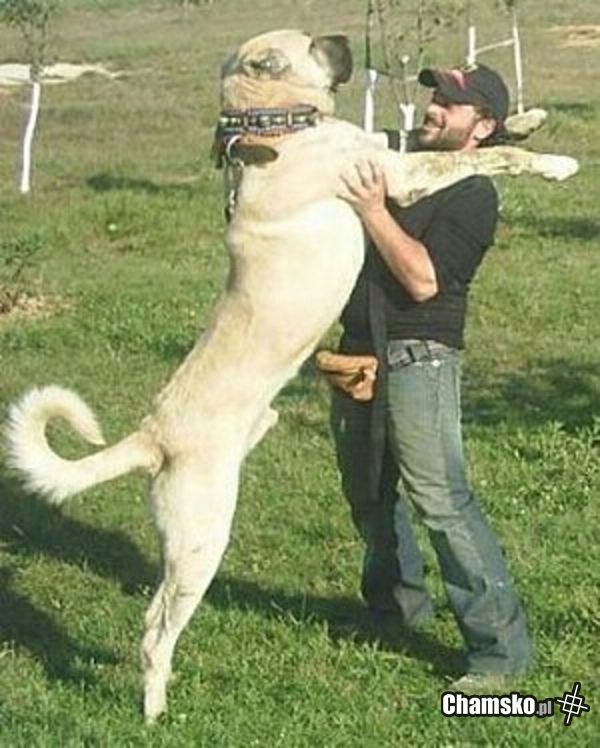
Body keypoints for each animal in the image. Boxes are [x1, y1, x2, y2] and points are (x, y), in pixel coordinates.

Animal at [5, 29, 578, 722]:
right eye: (310, 44)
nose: (344, 37)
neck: (276, 124)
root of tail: (152, 434)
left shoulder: (386, 150)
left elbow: (452, 139)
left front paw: (528, 117)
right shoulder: (396, 177)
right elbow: (481, 159)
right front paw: (556, 162)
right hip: (200, 538)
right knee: (154, 625)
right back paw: (155, 707)